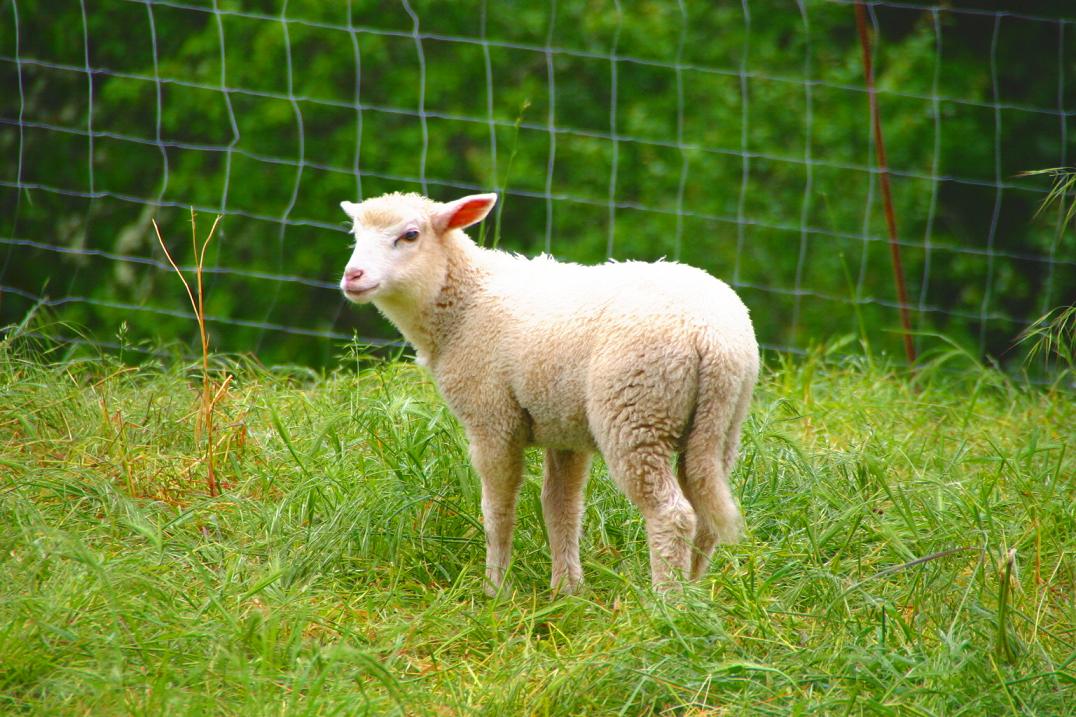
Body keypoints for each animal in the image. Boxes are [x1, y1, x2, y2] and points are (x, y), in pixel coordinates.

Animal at [340, 191, 761, 589]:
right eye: (355, 235)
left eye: (410, 235)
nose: (352, 276)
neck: (466, 305)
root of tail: (711, 335)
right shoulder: (564, 428)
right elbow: (561, 507)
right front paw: (566, 590)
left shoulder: (492, 419)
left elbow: (498, 510)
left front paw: (495, 589)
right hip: (719, 424)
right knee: (705, 511)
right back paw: (694, 594)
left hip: (636, 411)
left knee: (671, 513)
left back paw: (666, 602)